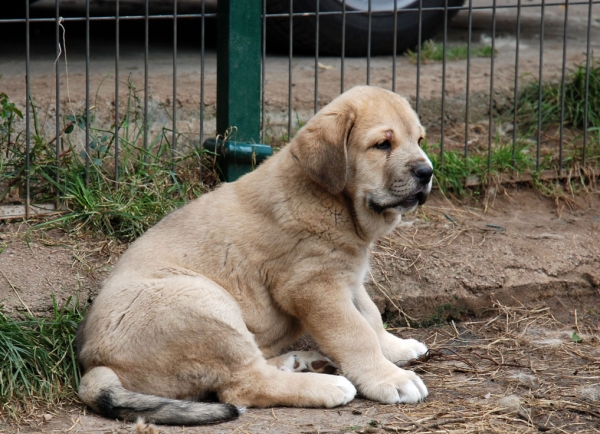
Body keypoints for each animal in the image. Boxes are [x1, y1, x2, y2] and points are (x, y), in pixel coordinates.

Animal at [76, 86, 432, 426]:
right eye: (382, 144)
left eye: (419, 140)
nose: (427, 172)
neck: (336, 203)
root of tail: (95, 365)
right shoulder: (315, 287)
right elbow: (356, 334)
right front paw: (390, 378)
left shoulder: (347, 277)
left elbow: (370, 316)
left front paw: (395, 348)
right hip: (205, 303)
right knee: (244, 385)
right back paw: (324, 384)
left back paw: (301, 361)